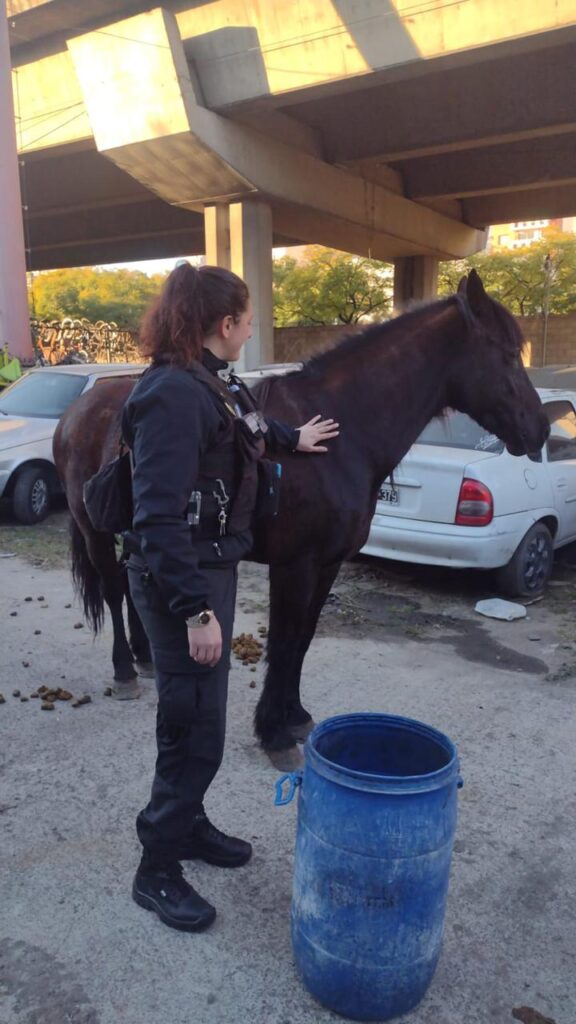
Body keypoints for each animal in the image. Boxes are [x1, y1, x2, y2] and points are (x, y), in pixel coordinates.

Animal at [53, 272, 550, 769]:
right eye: (508, 353)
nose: (541, 431)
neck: (342, 437)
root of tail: (79, 408)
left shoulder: (327, 565)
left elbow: (304, 639)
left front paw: (295, 716)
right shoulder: (295, 566)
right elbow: (285, 641)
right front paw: (273, 732)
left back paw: (146, 656)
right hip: (95, 530)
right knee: (114, 590)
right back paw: (124, 670)